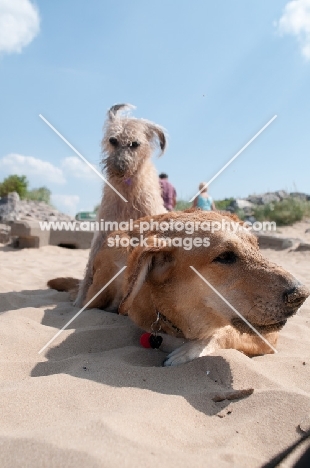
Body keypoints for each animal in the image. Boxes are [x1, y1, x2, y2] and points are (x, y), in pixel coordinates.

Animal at [47, 210, 308, 368]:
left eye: (256, 247)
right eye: (225, 256)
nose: (301, 295)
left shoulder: (267, 336)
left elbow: (221, 332)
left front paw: (187, 351)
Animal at [74, 103, 167, 308]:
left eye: (135, 144)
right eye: (113, 140)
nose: (119, 167)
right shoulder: (103, 232)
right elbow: (89, 268)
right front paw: (79, 299)